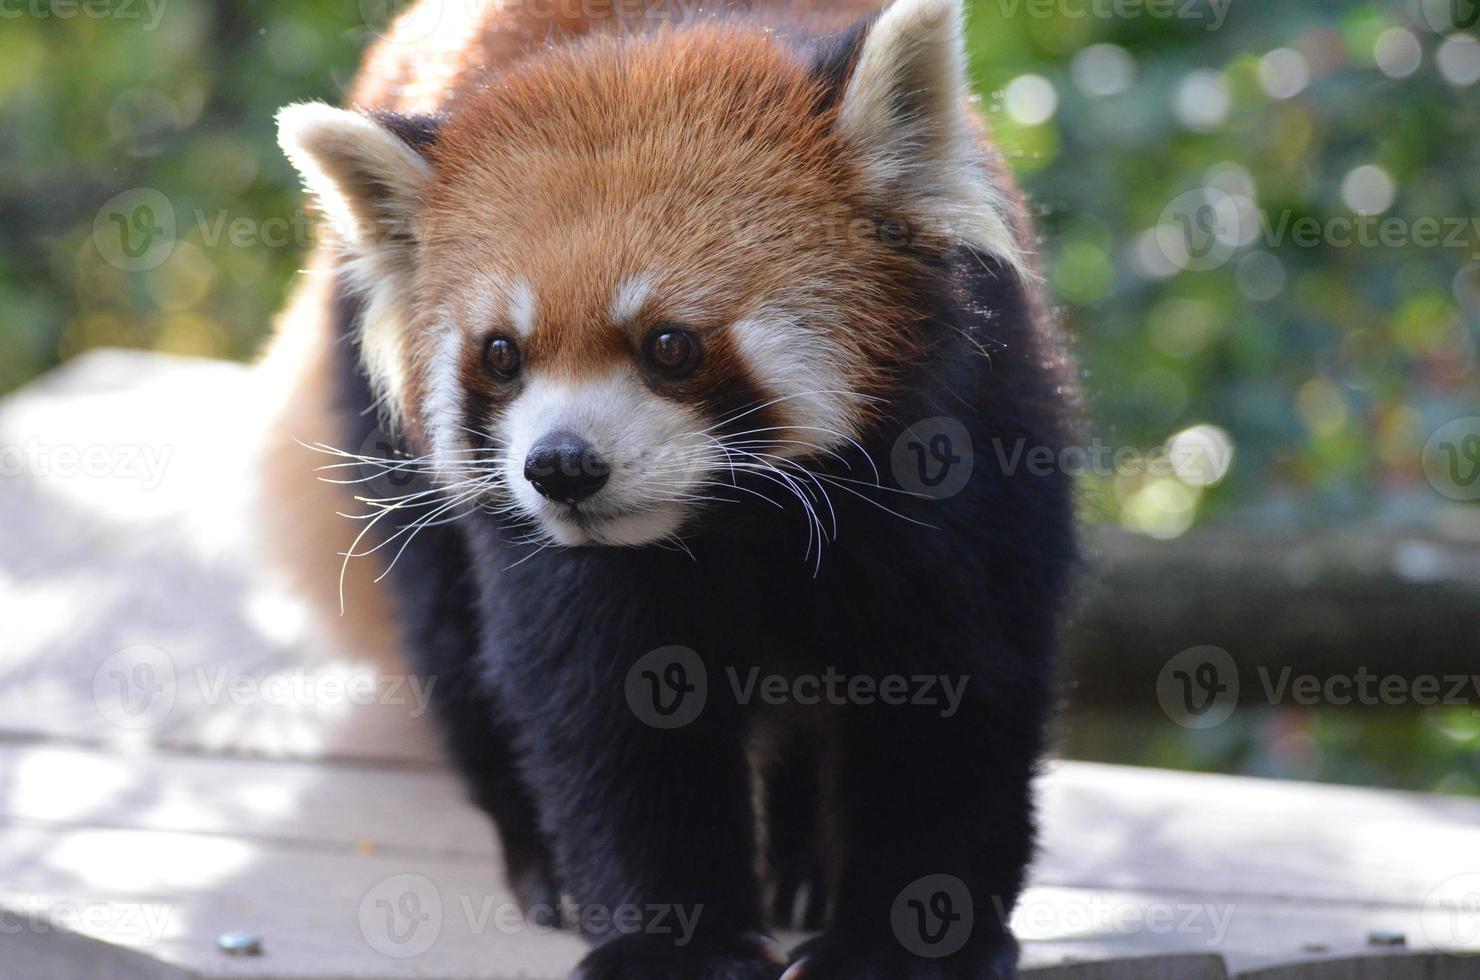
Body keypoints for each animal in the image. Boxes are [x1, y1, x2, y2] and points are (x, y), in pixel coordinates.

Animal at [269, 0, 1077, 977]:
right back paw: (541, 856)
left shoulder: (968, 463)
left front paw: (909, 938)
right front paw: (676, 941)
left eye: (669, 345)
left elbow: (957, 688)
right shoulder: (566, 567)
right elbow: (609, 713)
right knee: (447, 633)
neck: (737, 523)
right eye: (501, 354)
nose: (563, 467)